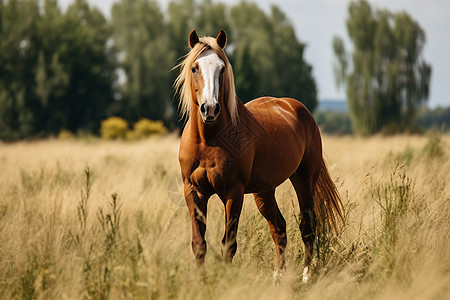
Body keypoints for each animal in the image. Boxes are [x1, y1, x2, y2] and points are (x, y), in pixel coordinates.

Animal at [174, 29, 342, 282]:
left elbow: (228, 244)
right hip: (265, 191)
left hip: (304, 180)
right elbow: (199, 243)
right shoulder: (194, 191)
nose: (210, 109)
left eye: (222, 68)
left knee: (307, 226)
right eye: (194, 68)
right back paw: (277, 276)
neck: (208, 140)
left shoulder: (233, 193)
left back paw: (305, 275)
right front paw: (201, 282)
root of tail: (298, 109)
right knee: (279, 228)